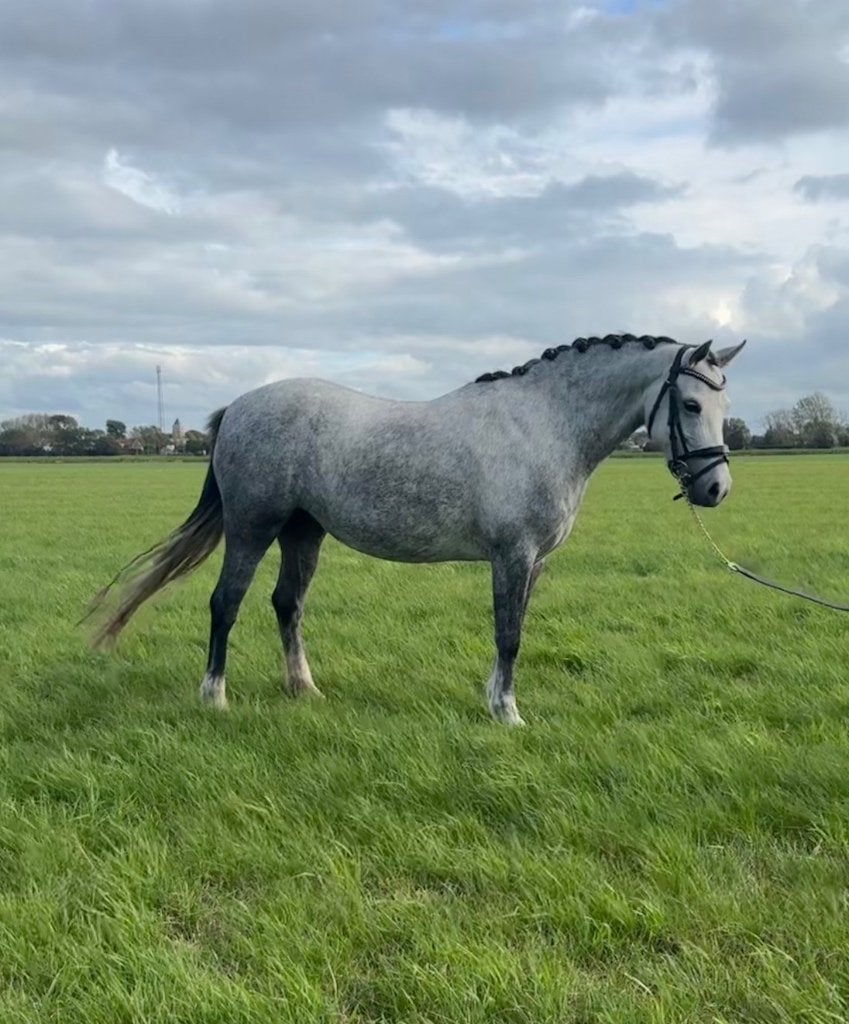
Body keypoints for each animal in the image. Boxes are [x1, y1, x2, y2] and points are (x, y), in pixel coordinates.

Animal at [89, 333, 745, 724]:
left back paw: (304, 689)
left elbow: (513, 631)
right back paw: (215, 697)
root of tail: (239, 407)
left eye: (722, 405)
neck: (544, 423)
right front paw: (508, 714)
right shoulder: (513, 554)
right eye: (690, 405)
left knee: (287, 604)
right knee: (225, 603)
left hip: (304, 532)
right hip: (253, 528)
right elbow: (509, 634)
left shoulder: (533, 562)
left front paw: (495, 701)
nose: (716, 489)